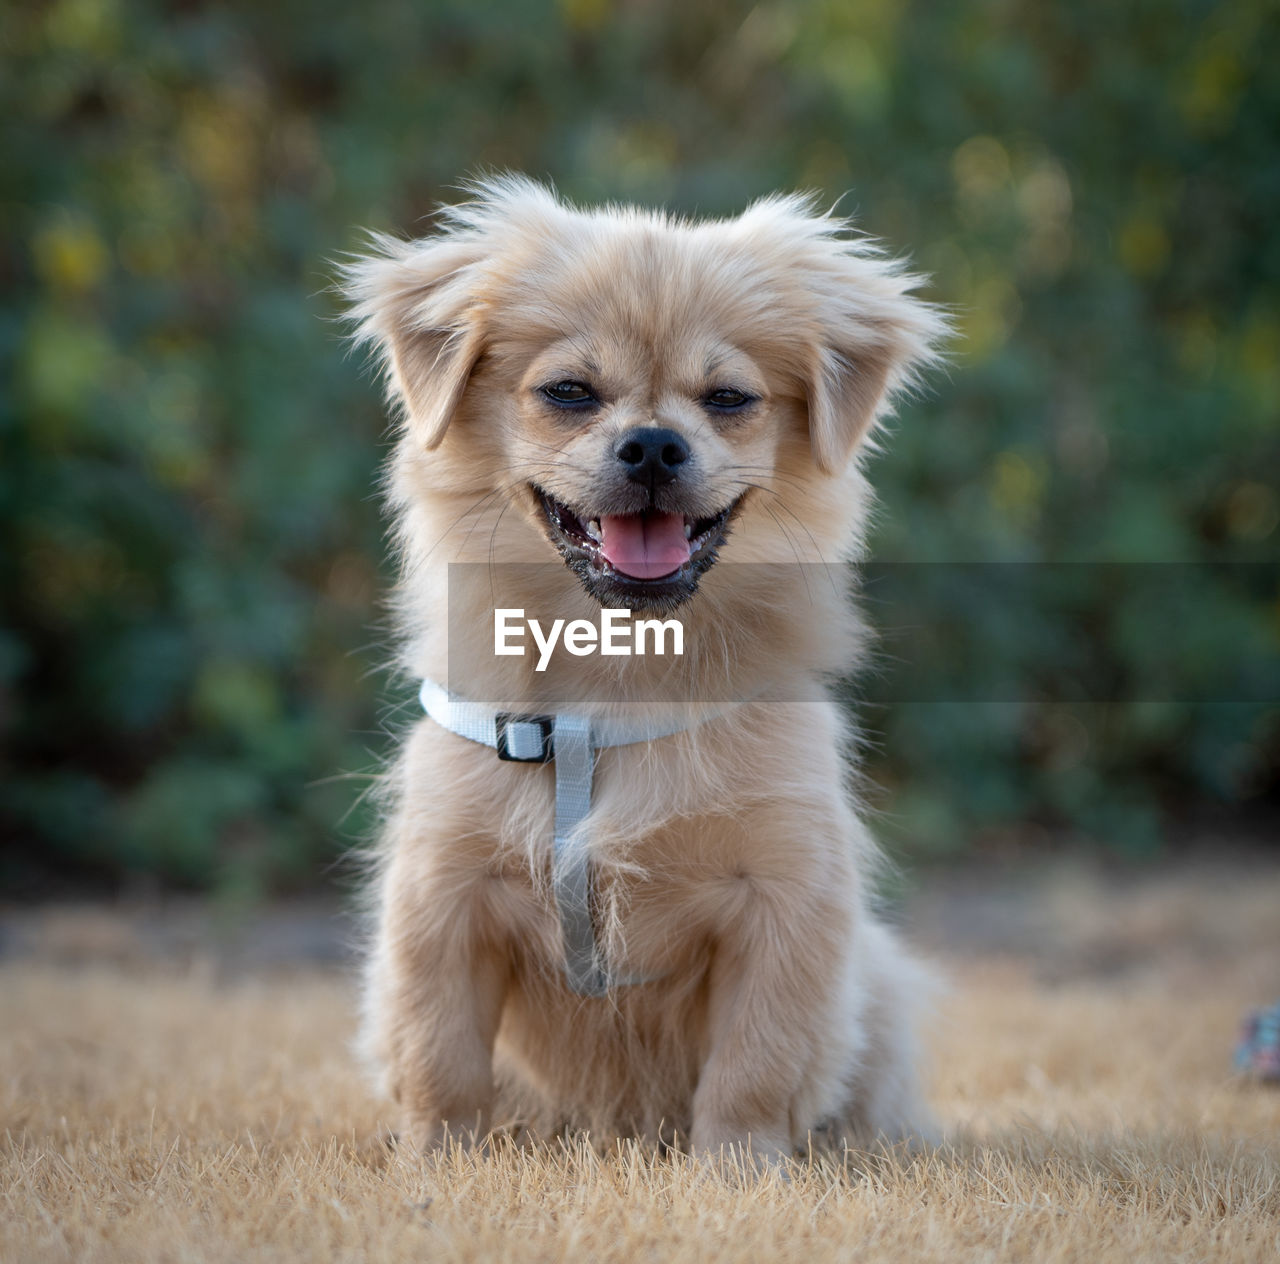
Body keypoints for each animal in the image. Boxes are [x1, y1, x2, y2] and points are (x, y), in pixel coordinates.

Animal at [345, 177, 947, 1166]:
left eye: (730, 398)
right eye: (568, 393)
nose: (657, 445)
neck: (618, 675)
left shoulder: (783, 904)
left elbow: (756, 1062)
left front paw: (738, 1168)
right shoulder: (444, 899)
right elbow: (441, 1057)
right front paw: (438, 1162)